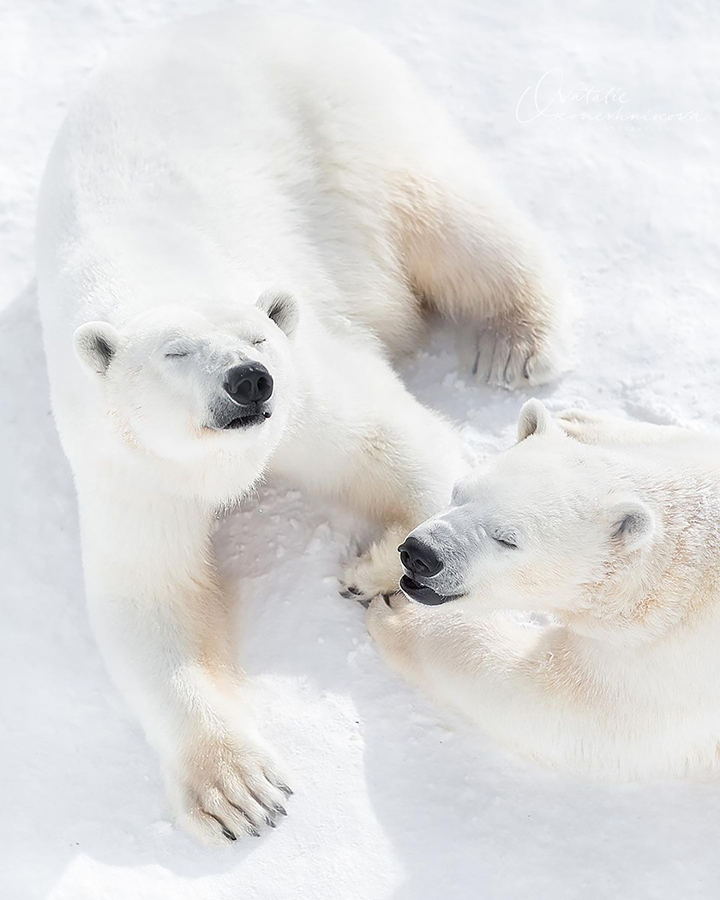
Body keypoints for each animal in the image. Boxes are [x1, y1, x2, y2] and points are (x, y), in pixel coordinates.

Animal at [38, 10, 568, 840]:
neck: (152, 270)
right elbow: (151, 597)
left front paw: (372, 569)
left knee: (450, 217)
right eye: (175, 352)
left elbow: (396, 446)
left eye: (258, 339)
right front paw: (239, 794)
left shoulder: (306, 386)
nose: (247, 382)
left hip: (347, 130)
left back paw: (512, 343)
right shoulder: (128, 464)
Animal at [368, 400, 720, 780]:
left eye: (507, 539)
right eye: (458, 492)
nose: (420, 554)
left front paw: (397, 615)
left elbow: (559, 703)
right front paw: (575, 420)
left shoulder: (665, 663)